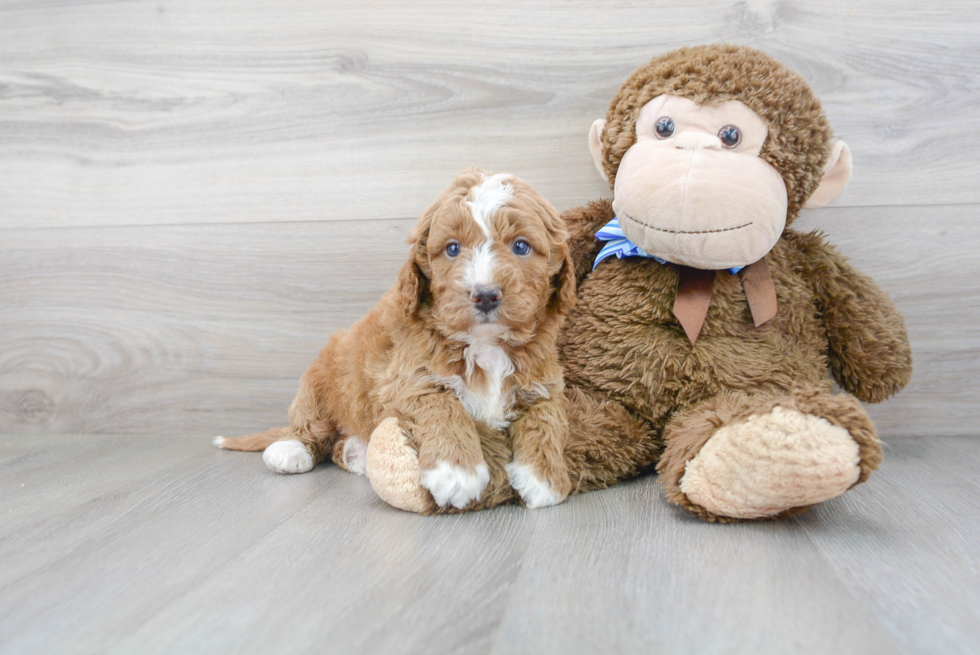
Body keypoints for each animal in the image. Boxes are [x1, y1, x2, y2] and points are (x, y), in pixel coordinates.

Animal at [216, 167, 576, 510]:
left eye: (521, 246)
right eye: (452, 248)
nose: (485, 295)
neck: (485, 343)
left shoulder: (543, 383)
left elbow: (547, 419)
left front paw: (544, 479)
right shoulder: (405, 380)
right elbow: (443, 405)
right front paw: (456, 472)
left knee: (336, 446)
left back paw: (356, 454)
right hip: (318, 385)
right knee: (312, 429)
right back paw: (291, 450)